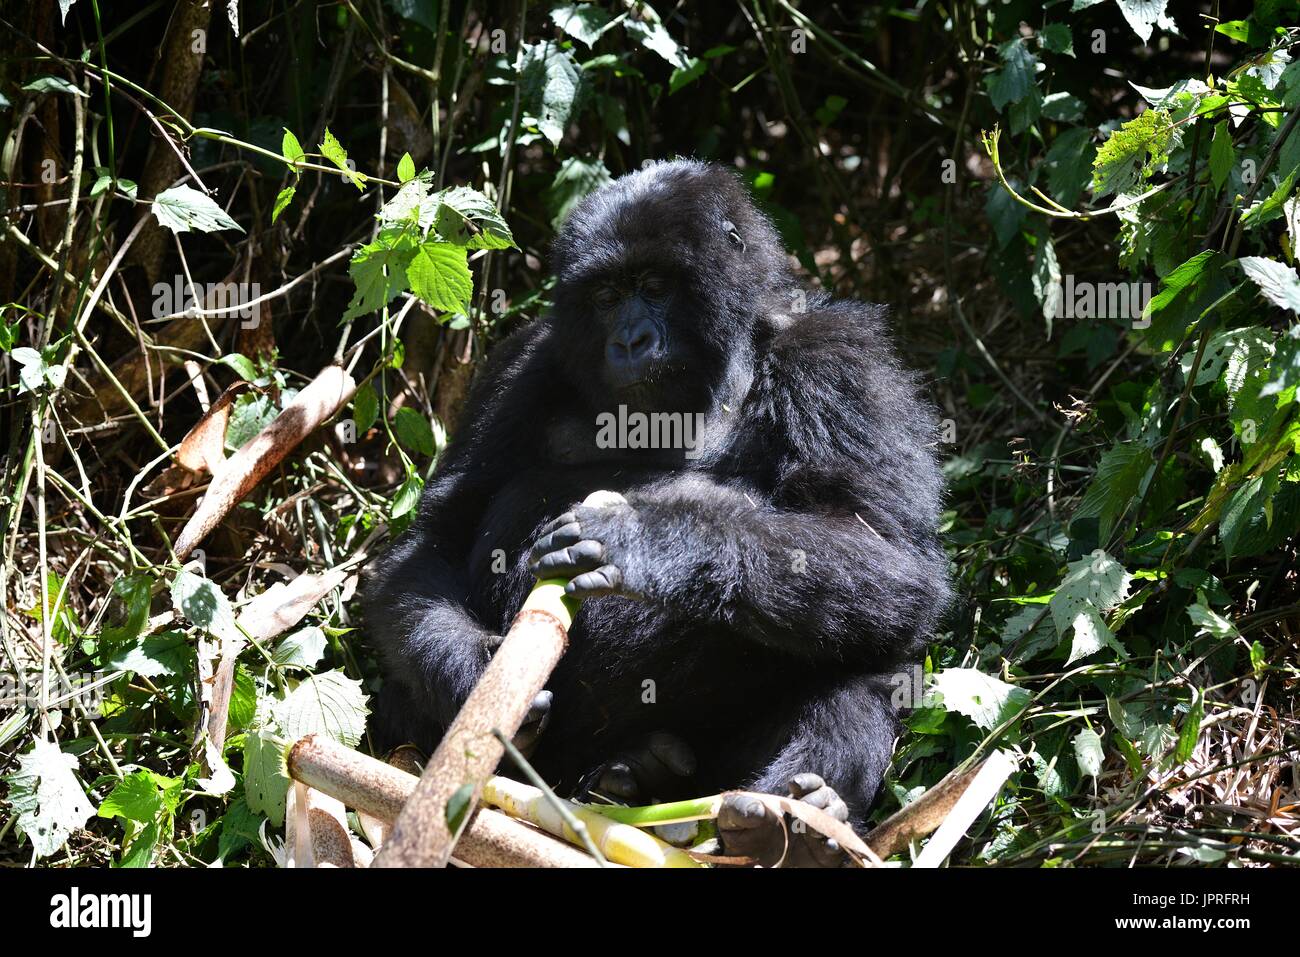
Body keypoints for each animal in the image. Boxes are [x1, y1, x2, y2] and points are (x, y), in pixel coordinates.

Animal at [361, 158, 951, 868]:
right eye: (607, 296)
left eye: (656, 286)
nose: (630, 340)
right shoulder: (522, 361)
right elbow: (437, 538)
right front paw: (475, 676)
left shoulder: (839, 356)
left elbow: (892, 556)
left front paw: (646, 542)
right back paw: (640, 775)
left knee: (870, 654)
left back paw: (796, 822)